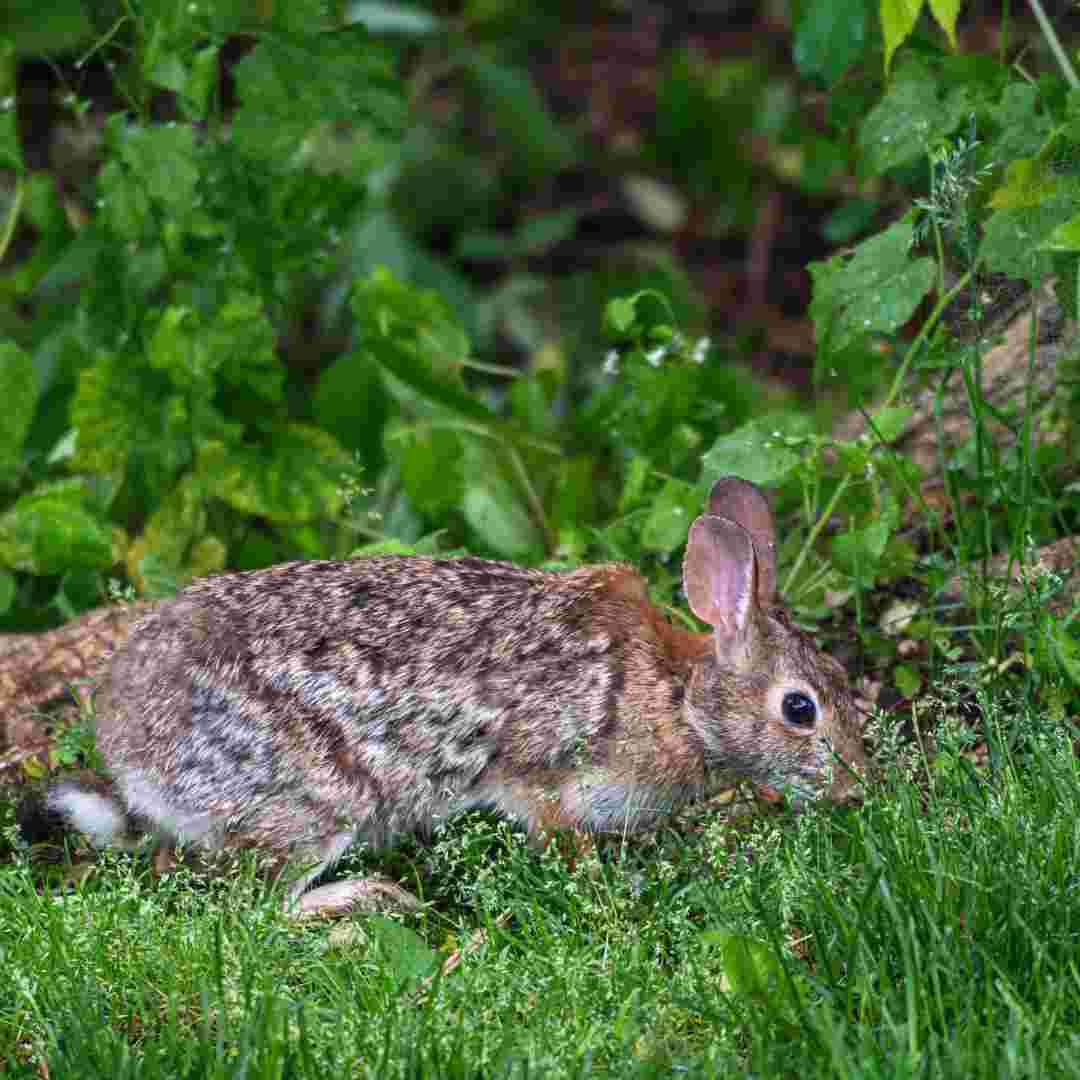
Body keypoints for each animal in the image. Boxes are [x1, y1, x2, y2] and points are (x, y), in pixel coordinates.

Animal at [46, 477, 864, 915]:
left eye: (843, 681)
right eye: (800, 708)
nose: (860, 786)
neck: (678, 697)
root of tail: (127, 750)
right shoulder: (548, 782)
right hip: (314, 803)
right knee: (257, 908)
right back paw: (366, 901)